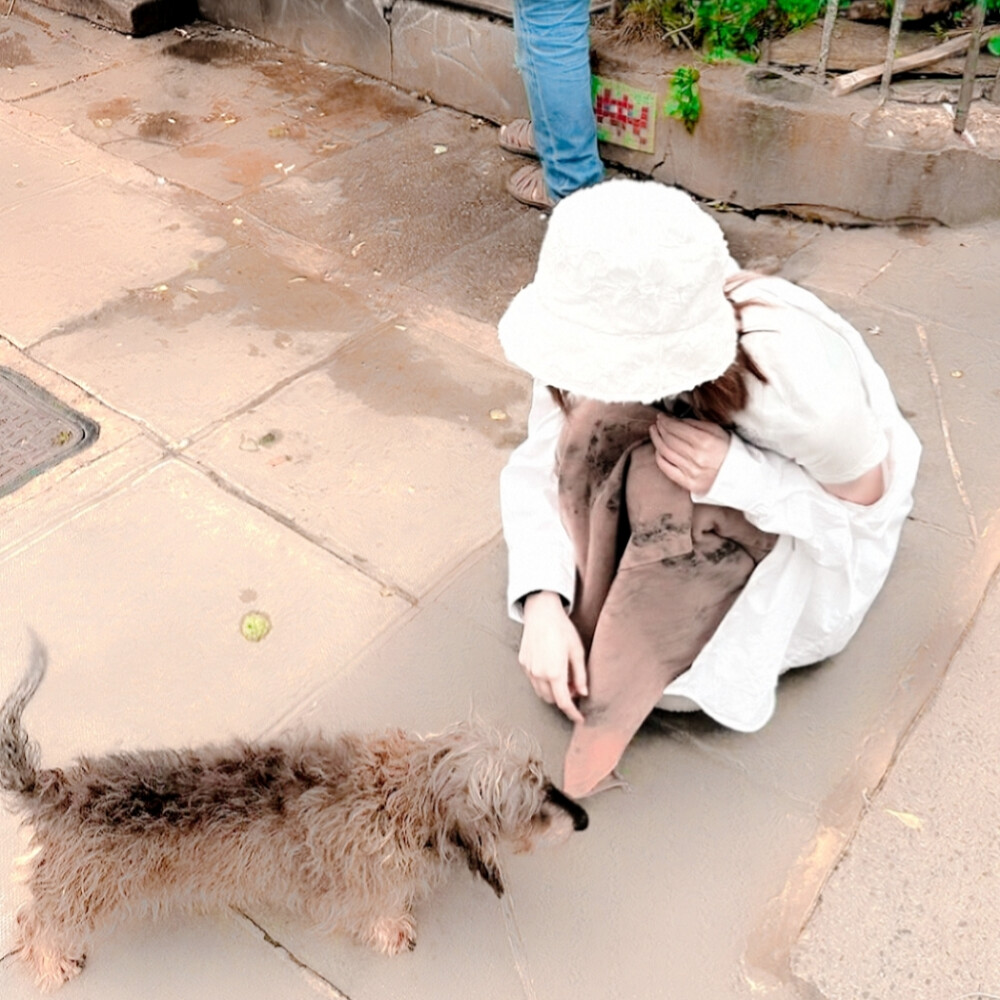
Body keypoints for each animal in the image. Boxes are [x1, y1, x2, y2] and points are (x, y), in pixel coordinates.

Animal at [0, 636, 584, 988]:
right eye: (529, 808)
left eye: (544, 777)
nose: (582, 819)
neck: (410, 788)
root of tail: (57, 788)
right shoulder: (367, 880)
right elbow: (378, 909)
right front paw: (394, 930)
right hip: (79, 896)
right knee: (34, 925)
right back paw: (55, 960)